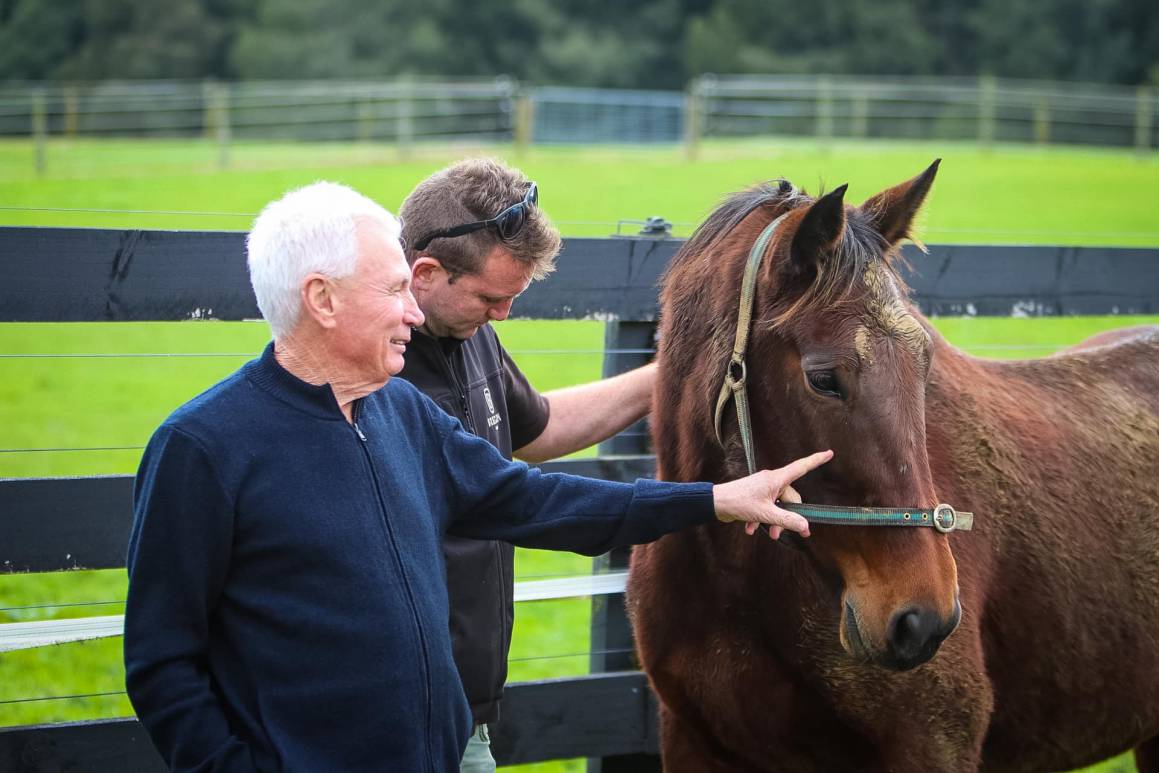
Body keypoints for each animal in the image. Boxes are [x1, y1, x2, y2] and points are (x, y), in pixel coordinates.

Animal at [630, 159, 1159, 769]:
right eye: (823, 378)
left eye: (925, 361)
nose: (924, 618)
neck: (731, 580)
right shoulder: (691, 741)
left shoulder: (933, 745)